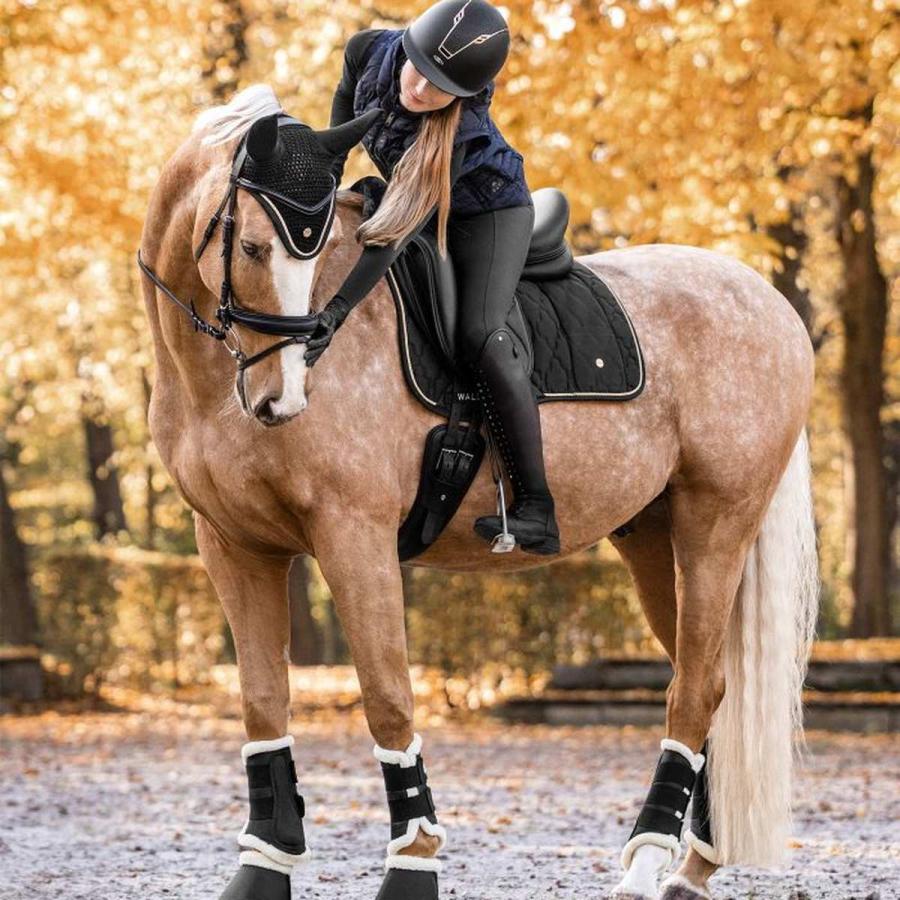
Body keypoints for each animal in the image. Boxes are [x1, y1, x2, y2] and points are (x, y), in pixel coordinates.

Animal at [138, 84, 819, 900]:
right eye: (250, 249)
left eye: (308, 250)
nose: (280, 398)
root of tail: (769, 303)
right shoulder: (234, 547)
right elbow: (262, 704)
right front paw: (263, 865)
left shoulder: (352, 535)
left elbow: (388, 698)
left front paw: (414, 862)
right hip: (659, 544)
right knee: (709, 682)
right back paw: (691, 865)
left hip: (716, 526)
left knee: (691, 692)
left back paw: (647, 859)